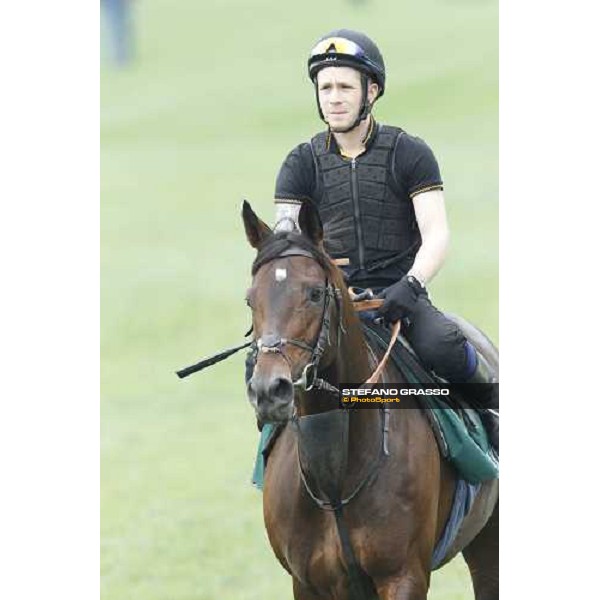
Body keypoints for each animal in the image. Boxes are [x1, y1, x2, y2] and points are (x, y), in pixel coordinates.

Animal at [241, 199, 500, 596]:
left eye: (314, 293)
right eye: (250, 299)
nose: (270, 389)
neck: (334, 483)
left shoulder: (403, 575)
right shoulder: (307, 582)